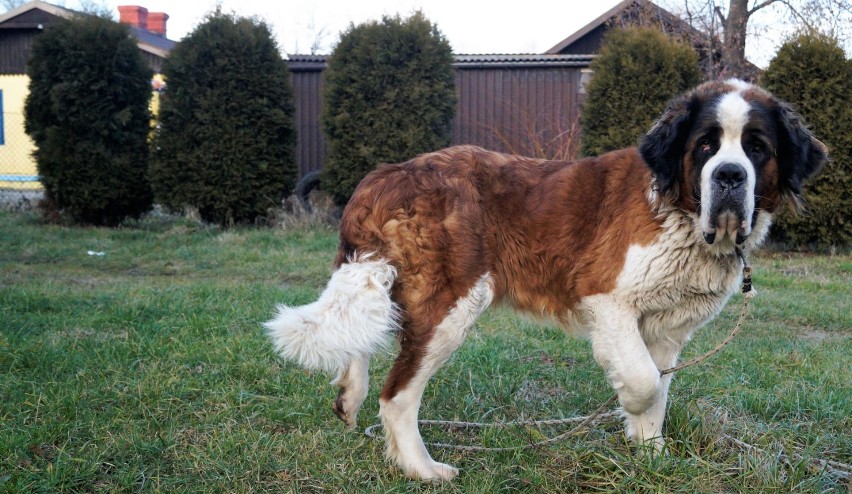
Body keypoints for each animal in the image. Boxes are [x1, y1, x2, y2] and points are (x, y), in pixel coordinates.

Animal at [264, 79, 824, 480]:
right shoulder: (606, 299)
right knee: (397, 394)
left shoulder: (666, 328)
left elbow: (659, 391)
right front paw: (628, 410)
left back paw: (348, 396)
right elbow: (644, 382)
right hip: (451, 304)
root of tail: (386, 174)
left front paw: (650, 457)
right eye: (706, 147)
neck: (680, 213)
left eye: (757, 149)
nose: (730, 176)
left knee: (360, 336)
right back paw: (422, 469)